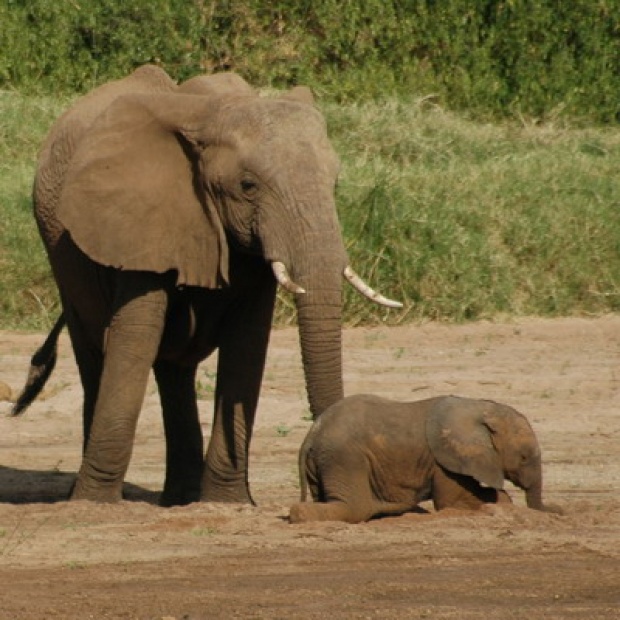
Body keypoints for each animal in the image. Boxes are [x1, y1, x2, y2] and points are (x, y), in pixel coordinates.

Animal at [18, 65, 402, 506]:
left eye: (334, 185)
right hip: (61, 254)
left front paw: (229, 502)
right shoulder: (140, 220)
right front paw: (96, 504)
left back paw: (180, 499)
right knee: (94, 352)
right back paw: (86, 496)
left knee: (173, 369)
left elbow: (247, 346)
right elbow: (135, 338)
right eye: (248, 186)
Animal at [288, 392, 544, 524]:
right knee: (355, 507)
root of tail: (312, 433)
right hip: (345, 457)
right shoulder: (444, 460)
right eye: (523, 457)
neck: (479, 408)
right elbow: (452, 503)